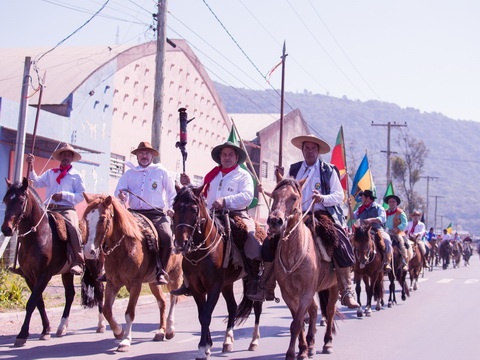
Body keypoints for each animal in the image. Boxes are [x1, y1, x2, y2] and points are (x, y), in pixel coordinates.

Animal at [1, 179, 103, 348]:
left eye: (21, 200)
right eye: (6, 200)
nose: (6, 229)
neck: (39, 236)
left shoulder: (44, 275)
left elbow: (31, 303)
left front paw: (22, 334)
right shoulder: (29, 277)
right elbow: (39, 303)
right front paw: (46, 330)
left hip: (96, 267)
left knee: (100, 290)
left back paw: (101, 325)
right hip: (67, 272)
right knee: (70, 294)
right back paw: (62, 327)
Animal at [82, 194, 182, 352]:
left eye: (103, 218)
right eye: (86, 218)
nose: (88, 251)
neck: (123, 248)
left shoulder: (135, 285)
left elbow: (129, 313)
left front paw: (125, 341)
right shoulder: (112, 283)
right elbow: (107, 310)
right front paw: (118, 331)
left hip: (175, 275)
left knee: (173, 298)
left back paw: (170, 329)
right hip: (154, 282)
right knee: (162, 302)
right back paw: (160, 331)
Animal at [172, 186, 264, 360]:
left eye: (194, 210)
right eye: (175, 208)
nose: (181, 243)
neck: (199, 253)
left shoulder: (214, 286)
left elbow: (206, 315)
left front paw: (202, 348)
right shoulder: (196, 288)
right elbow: (202, 315)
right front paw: (207, 346)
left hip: (253, 281)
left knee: (257, 307)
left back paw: (254, 341)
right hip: (227, 284)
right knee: (233, 307)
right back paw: (227, 341)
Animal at [266, 179, 338, 358]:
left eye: (294, 197)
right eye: (274, 195)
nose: (275, 221)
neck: (293, 251)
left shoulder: (306, 291)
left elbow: (297, 323)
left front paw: (293, 353)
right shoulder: (288, 293)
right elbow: (297, 322)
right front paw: (303, 348)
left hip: (334, 286)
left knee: (330, 310)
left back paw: (327, 343)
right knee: (314, 310)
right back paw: (311, 344)